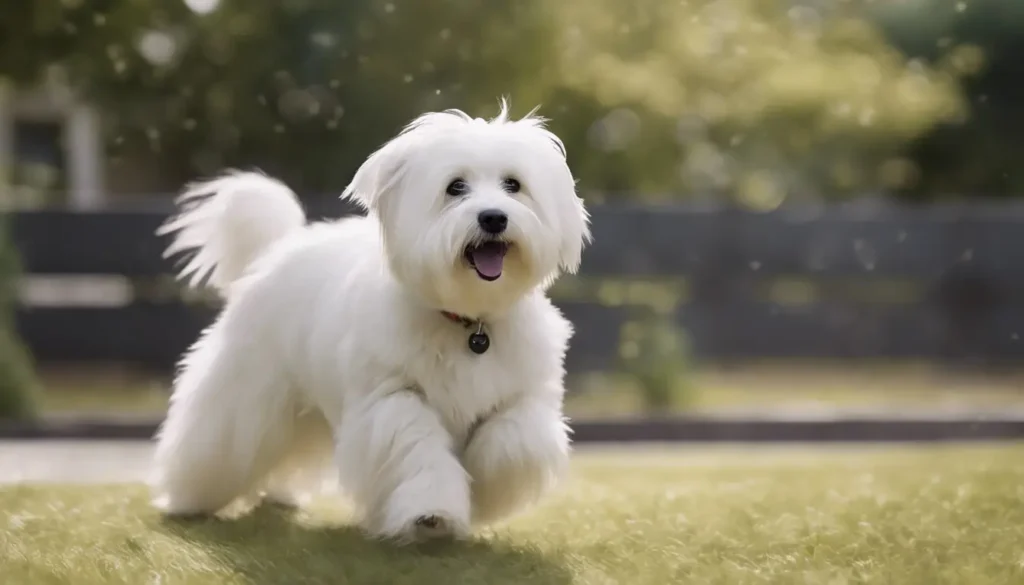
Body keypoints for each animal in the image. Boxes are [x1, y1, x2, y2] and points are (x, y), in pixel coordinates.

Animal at [147, 101, 589, 545]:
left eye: (514, 185)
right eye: (456, 187)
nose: (494, 218)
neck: (467, 323)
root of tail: (277, 249)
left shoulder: (523, 393)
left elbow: (515, 439)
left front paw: (484, 487)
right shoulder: (394, 399)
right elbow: (419, 451)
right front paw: (431, 515)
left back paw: (280, 496)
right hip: (246, 398)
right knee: (214, 445)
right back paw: (187, 501)